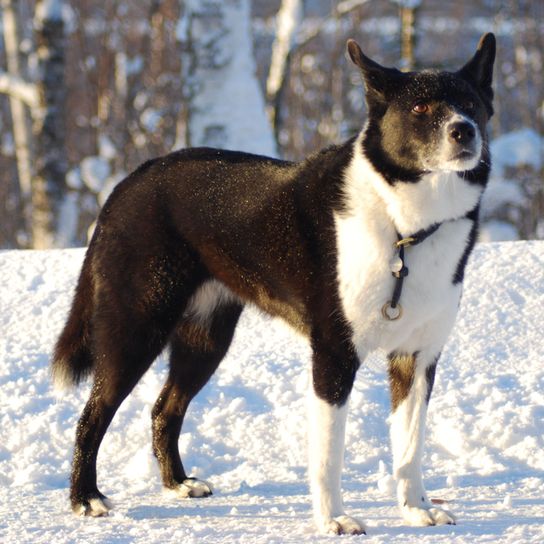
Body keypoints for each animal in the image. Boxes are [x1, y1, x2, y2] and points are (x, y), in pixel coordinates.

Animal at [53, 34, 496, 536]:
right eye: (420, 106)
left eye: (471, 104)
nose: (463, 131)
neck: (404, 226)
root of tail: (131, 180)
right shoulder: (333, 356)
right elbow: (329, 454)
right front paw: (334, 519)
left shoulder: (417, 359)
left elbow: (410, 445)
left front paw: (417, 509)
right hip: (136, 328)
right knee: (91, 415)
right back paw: (85, 498)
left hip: (205, 338)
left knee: (164, 409)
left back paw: (179, 483)